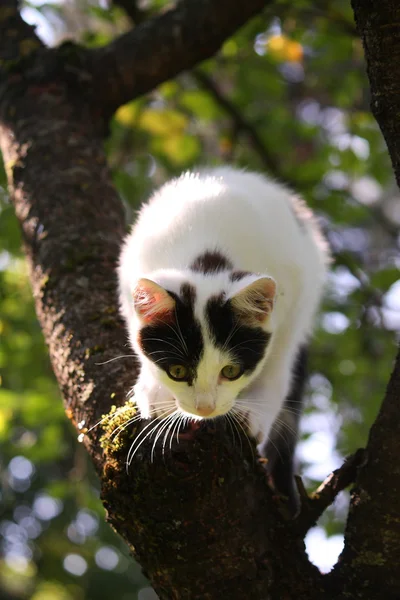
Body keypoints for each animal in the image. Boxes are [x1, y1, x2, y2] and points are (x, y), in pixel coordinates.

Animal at [117, 165, 330, 506]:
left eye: (230, 371)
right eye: (178, 371)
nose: (205, 409)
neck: (207, 261)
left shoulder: (293, 285)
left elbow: (278, 360)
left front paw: (255, 413)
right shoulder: (129, 267)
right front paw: (155, 390)